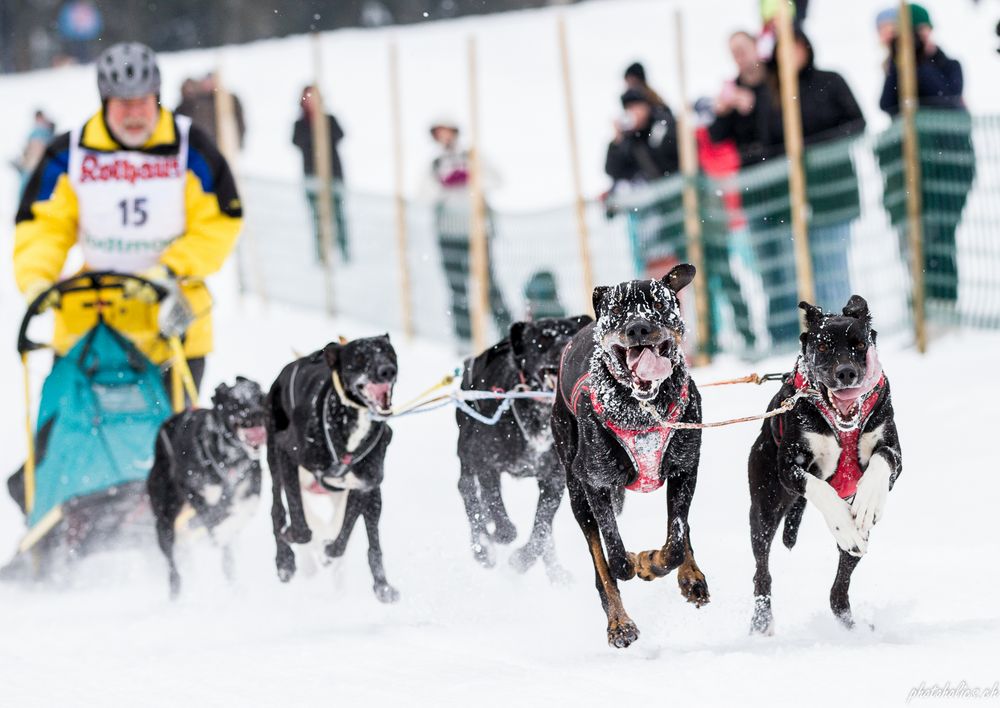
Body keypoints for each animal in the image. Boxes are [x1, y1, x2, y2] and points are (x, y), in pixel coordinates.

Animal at [146, 376, 268, 596]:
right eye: (236, 403)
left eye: (260, 398)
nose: (257, 413)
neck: (229, 458)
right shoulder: (194, 491)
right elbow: (212, 518)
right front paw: (219, 529)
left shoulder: (251, 486)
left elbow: (246, 508)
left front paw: (228, 526)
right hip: (164, 520)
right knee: (172, 561)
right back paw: (176, 589)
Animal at [270, 336, 402, 604]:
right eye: (359, 357)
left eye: (389, 353)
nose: (387, 371)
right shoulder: (287, 454)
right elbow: (300, 524)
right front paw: (295, 538)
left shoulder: (365, 488)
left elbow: (346, 534)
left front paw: (331, 550)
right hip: (275, 463)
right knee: (277, 510)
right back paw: (285, 561)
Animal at [460, 316, 592, 580]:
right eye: (542, 337)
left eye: (572, 332)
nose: (565, 346)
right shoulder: (487, 464)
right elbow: (494, 505)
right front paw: (501, 533)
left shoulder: (554, 479)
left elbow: (542, 527)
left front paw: (524, 559)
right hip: (467, 455)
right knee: (468, 492)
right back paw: (482, 548)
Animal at [548, 264, 712, 648]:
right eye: (618, 308)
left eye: (658, 303)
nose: (638, 327)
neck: (643, 410)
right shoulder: (595, 482)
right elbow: (616, 557)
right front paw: (638, 562)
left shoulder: (686, 468)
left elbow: (676, 540)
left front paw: (657, 563)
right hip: (575, 490)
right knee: (601, 564)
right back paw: (619, 623)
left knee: (680, 532)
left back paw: (691, 577)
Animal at [748, 296, 904, 632]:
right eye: (821, 346)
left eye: (859, 344)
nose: (846, 373)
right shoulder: (789, 467)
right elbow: (820, 488)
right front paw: (841, 522)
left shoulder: (894, 451)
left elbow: (882, 460)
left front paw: (869, 503)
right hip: (765, 508)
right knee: (761, 572)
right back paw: (761, 622)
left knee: (839, 588)